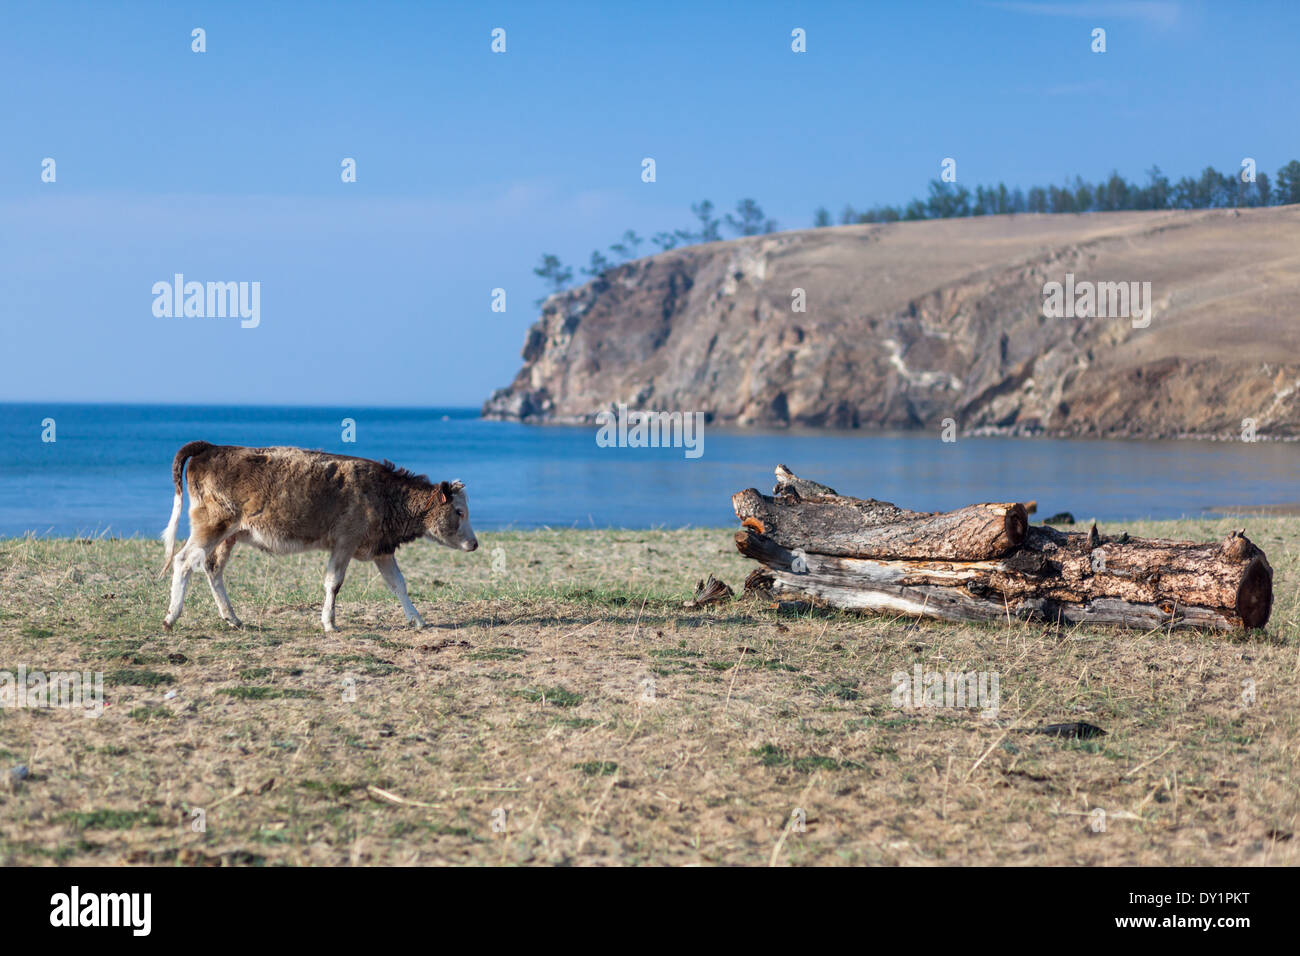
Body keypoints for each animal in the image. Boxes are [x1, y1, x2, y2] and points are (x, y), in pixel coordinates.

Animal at [155, 442, 475, 634]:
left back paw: (232, 618)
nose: (474, 543)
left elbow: (398, 584)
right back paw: (171, 617)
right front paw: (329, 623)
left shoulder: (380, 548)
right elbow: (334, 583)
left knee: (212, 568)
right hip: (211, 526)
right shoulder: (345, 542)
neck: (384, 493)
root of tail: (211, 447)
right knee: (184, 561)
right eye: (459, 511)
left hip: (229, 536)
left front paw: (417, 619)